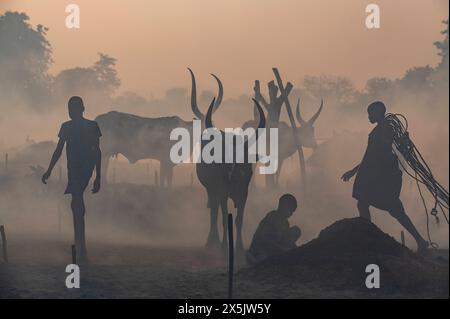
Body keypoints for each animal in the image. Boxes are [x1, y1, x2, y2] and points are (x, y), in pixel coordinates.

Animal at [95, 72, 223, 188]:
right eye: (203, 127)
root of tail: (98, 119)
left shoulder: (167, 163)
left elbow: (167, 179)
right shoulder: (165, 160)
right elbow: (164, 180)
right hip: (105, 153)